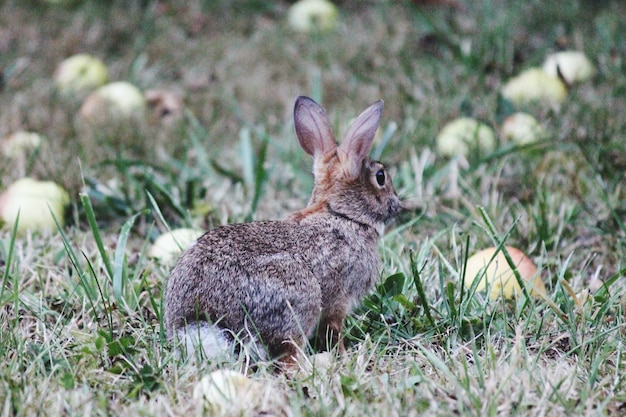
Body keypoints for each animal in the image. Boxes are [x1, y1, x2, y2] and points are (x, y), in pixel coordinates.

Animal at [163, 96, 402, 366]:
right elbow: (334, 328)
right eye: (380, 177)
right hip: (300, 298)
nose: (397, 204)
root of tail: (201, 326)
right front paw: (343, 355)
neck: (342, 214)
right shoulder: (338, 297)